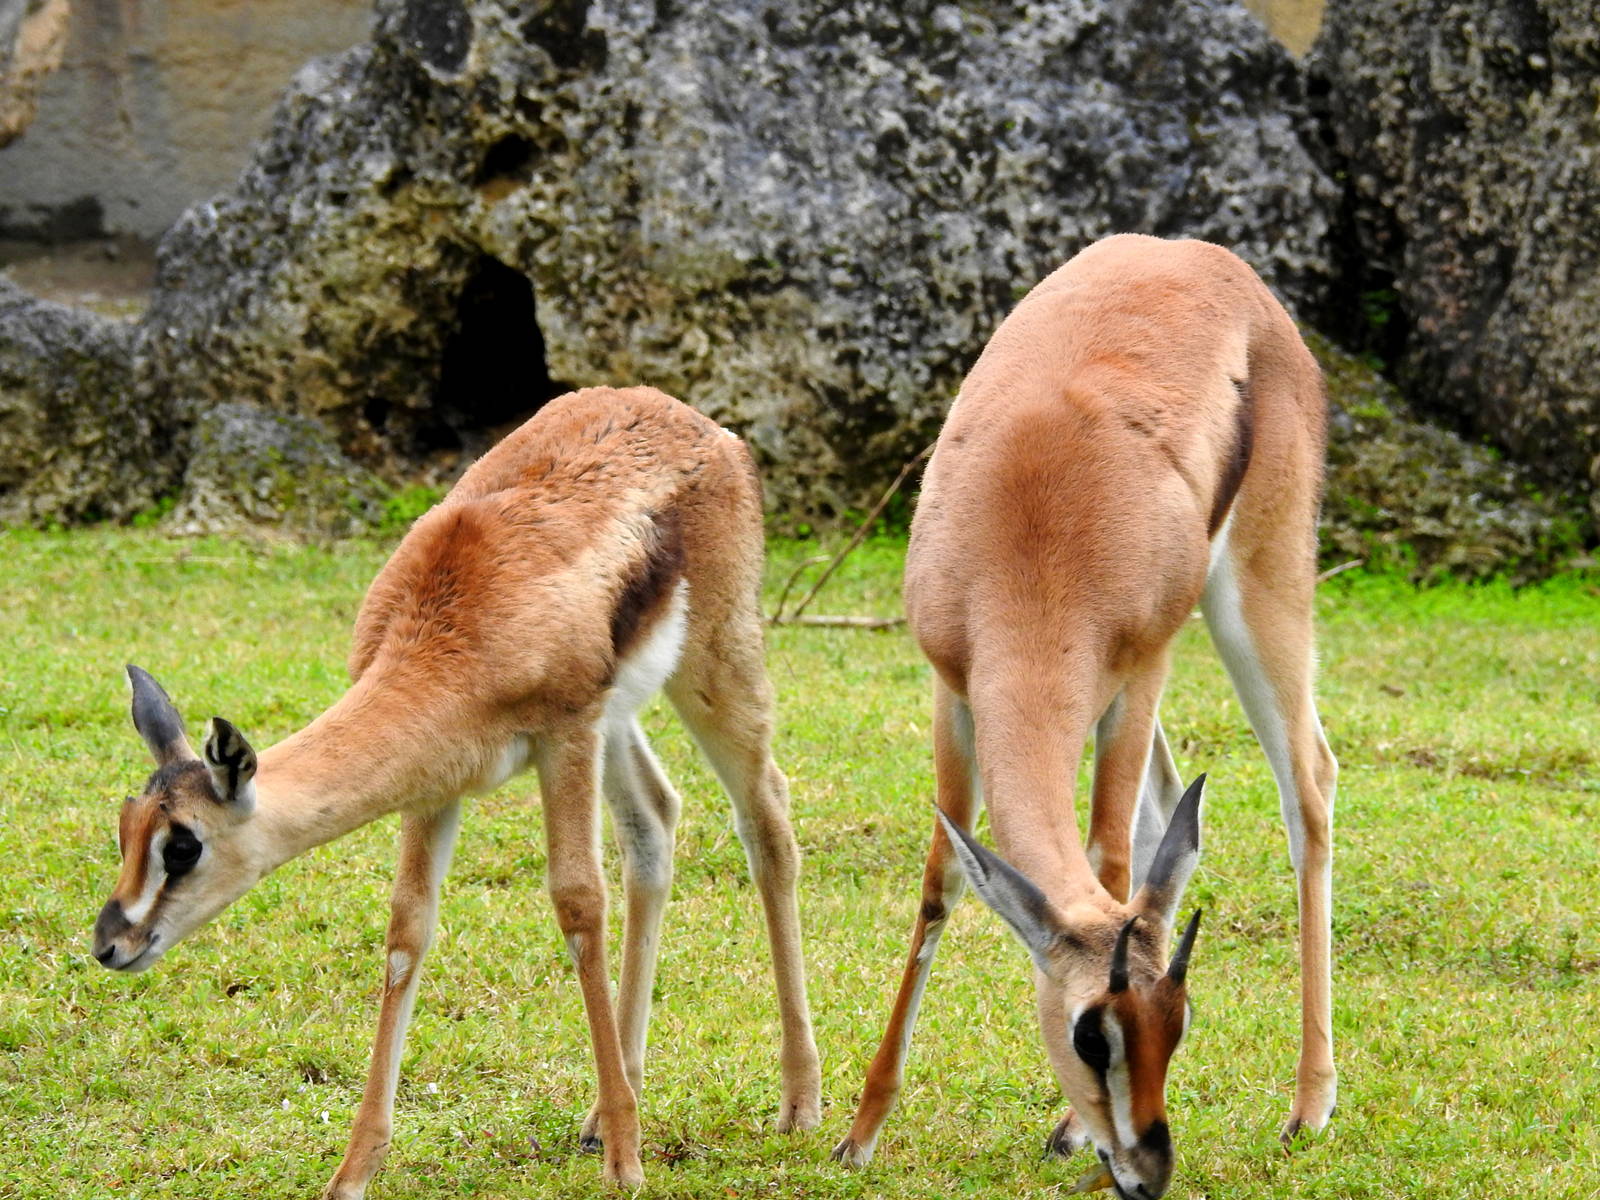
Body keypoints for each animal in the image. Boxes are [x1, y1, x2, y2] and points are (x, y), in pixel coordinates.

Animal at [91, 387, 823, 1198]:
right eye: (125, 830)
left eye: (183, 847)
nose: (111, 943)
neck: (453, 635)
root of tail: (691, 418)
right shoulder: (435, 784)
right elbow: (407, 931)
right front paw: (353, 1172)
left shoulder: (563, 737)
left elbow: (577, 902)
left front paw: (627, 1165)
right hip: (621, 718)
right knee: (656, 823)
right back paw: (607, 1110)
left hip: (714, 665)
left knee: (768, 820)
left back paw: (798, 1105)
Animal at [831, 235, 1337, 1196]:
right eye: (1091, 1034)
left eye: (1177, 1025)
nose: (1148, 1166)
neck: (1032, 548)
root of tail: (1215, 262)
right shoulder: (954, 687)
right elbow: (943, 880)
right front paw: (859, 1132)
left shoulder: (1139, 669)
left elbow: (1105, 858)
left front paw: (1065, 1129)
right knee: (1176, 802)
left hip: (1257, 589)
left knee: (1309, 784)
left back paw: (1309, 1108)